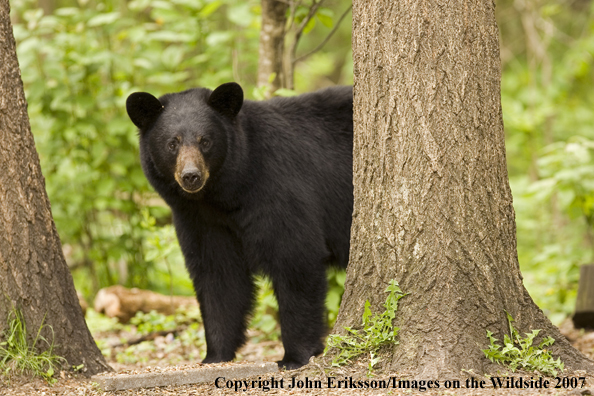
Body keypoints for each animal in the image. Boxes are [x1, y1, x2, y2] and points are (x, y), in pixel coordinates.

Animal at [125, 82, 352, 370]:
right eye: (172, 143)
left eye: (205, 140)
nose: (191, 176)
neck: (223, 195)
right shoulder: (200, 220)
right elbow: (219, 276)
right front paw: (214, 355)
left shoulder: (278, 189)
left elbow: (294, 258)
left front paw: (295, 356)